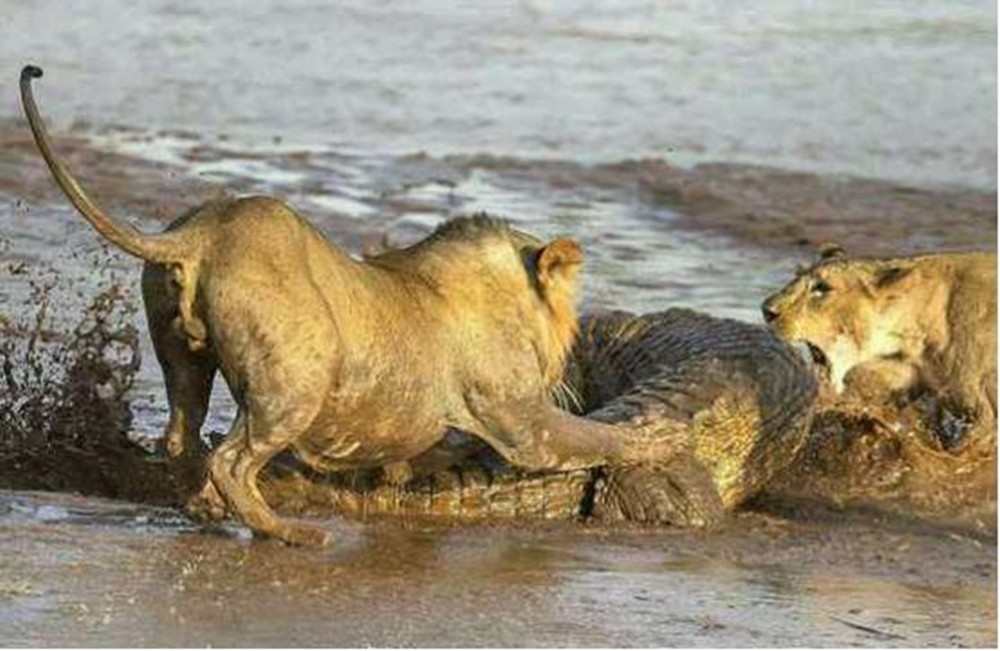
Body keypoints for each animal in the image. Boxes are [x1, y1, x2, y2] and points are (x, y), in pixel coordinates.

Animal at [21, 66, 680, 544]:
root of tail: (202, 233)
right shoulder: (523, 424)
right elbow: (594, 435)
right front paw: (656, 439)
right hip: (297, 380)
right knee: (232, 459)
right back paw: (288, 533)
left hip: (184, 355)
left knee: (185, 440)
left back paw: (206, 508)